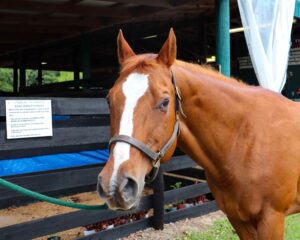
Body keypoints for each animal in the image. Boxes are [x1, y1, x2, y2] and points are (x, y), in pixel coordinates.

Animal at [98, 29, 300, 239]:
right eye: (109, 99)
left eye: (165, 102)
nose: (115, 184)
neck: (245, 140)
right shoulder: (238, 220)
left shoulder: (272, 220)